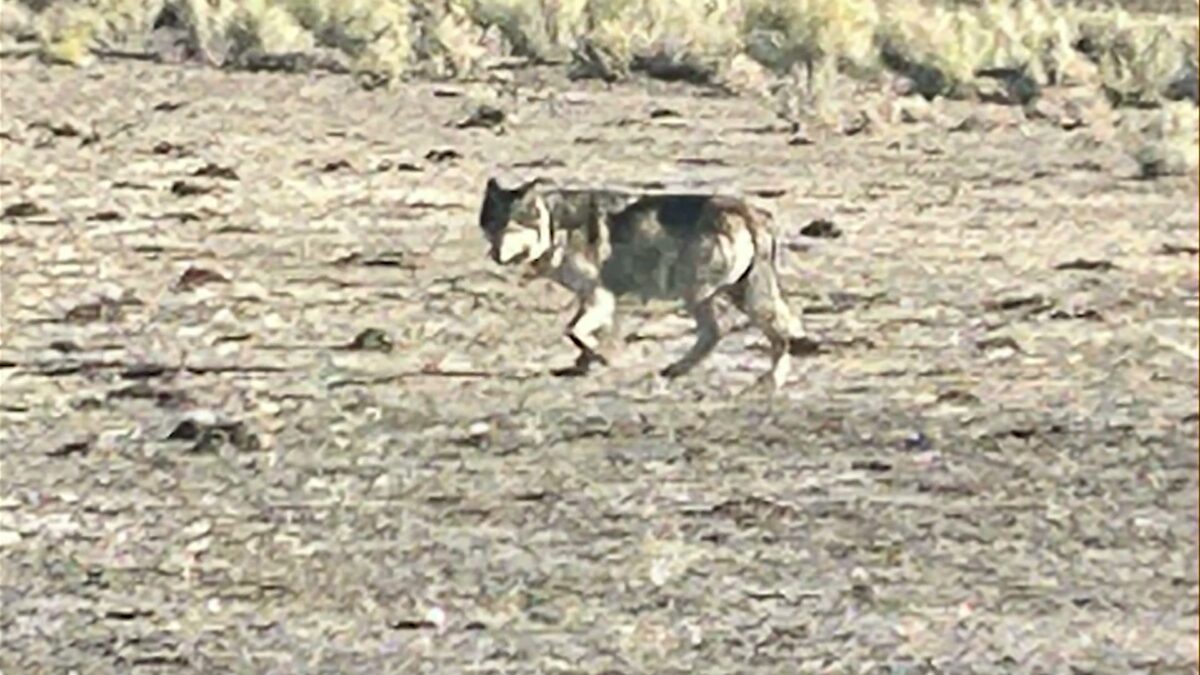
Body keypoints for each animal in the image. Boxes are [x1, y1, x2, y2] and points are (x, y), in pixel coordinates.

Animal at [477, 176, 814, 390]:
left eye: (513, 227)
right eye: (493, 227)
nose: (494, 254)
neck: (555, 226)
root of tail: (751, 214)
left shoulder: (599, 295)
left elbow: (573, 331)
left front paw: (601, 356)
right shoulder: (596, 300)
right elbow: (584, 334)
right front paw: (585, 364)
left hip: (703, 293)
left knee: (730, 331)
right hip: (734, 294)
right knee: (754, 335)